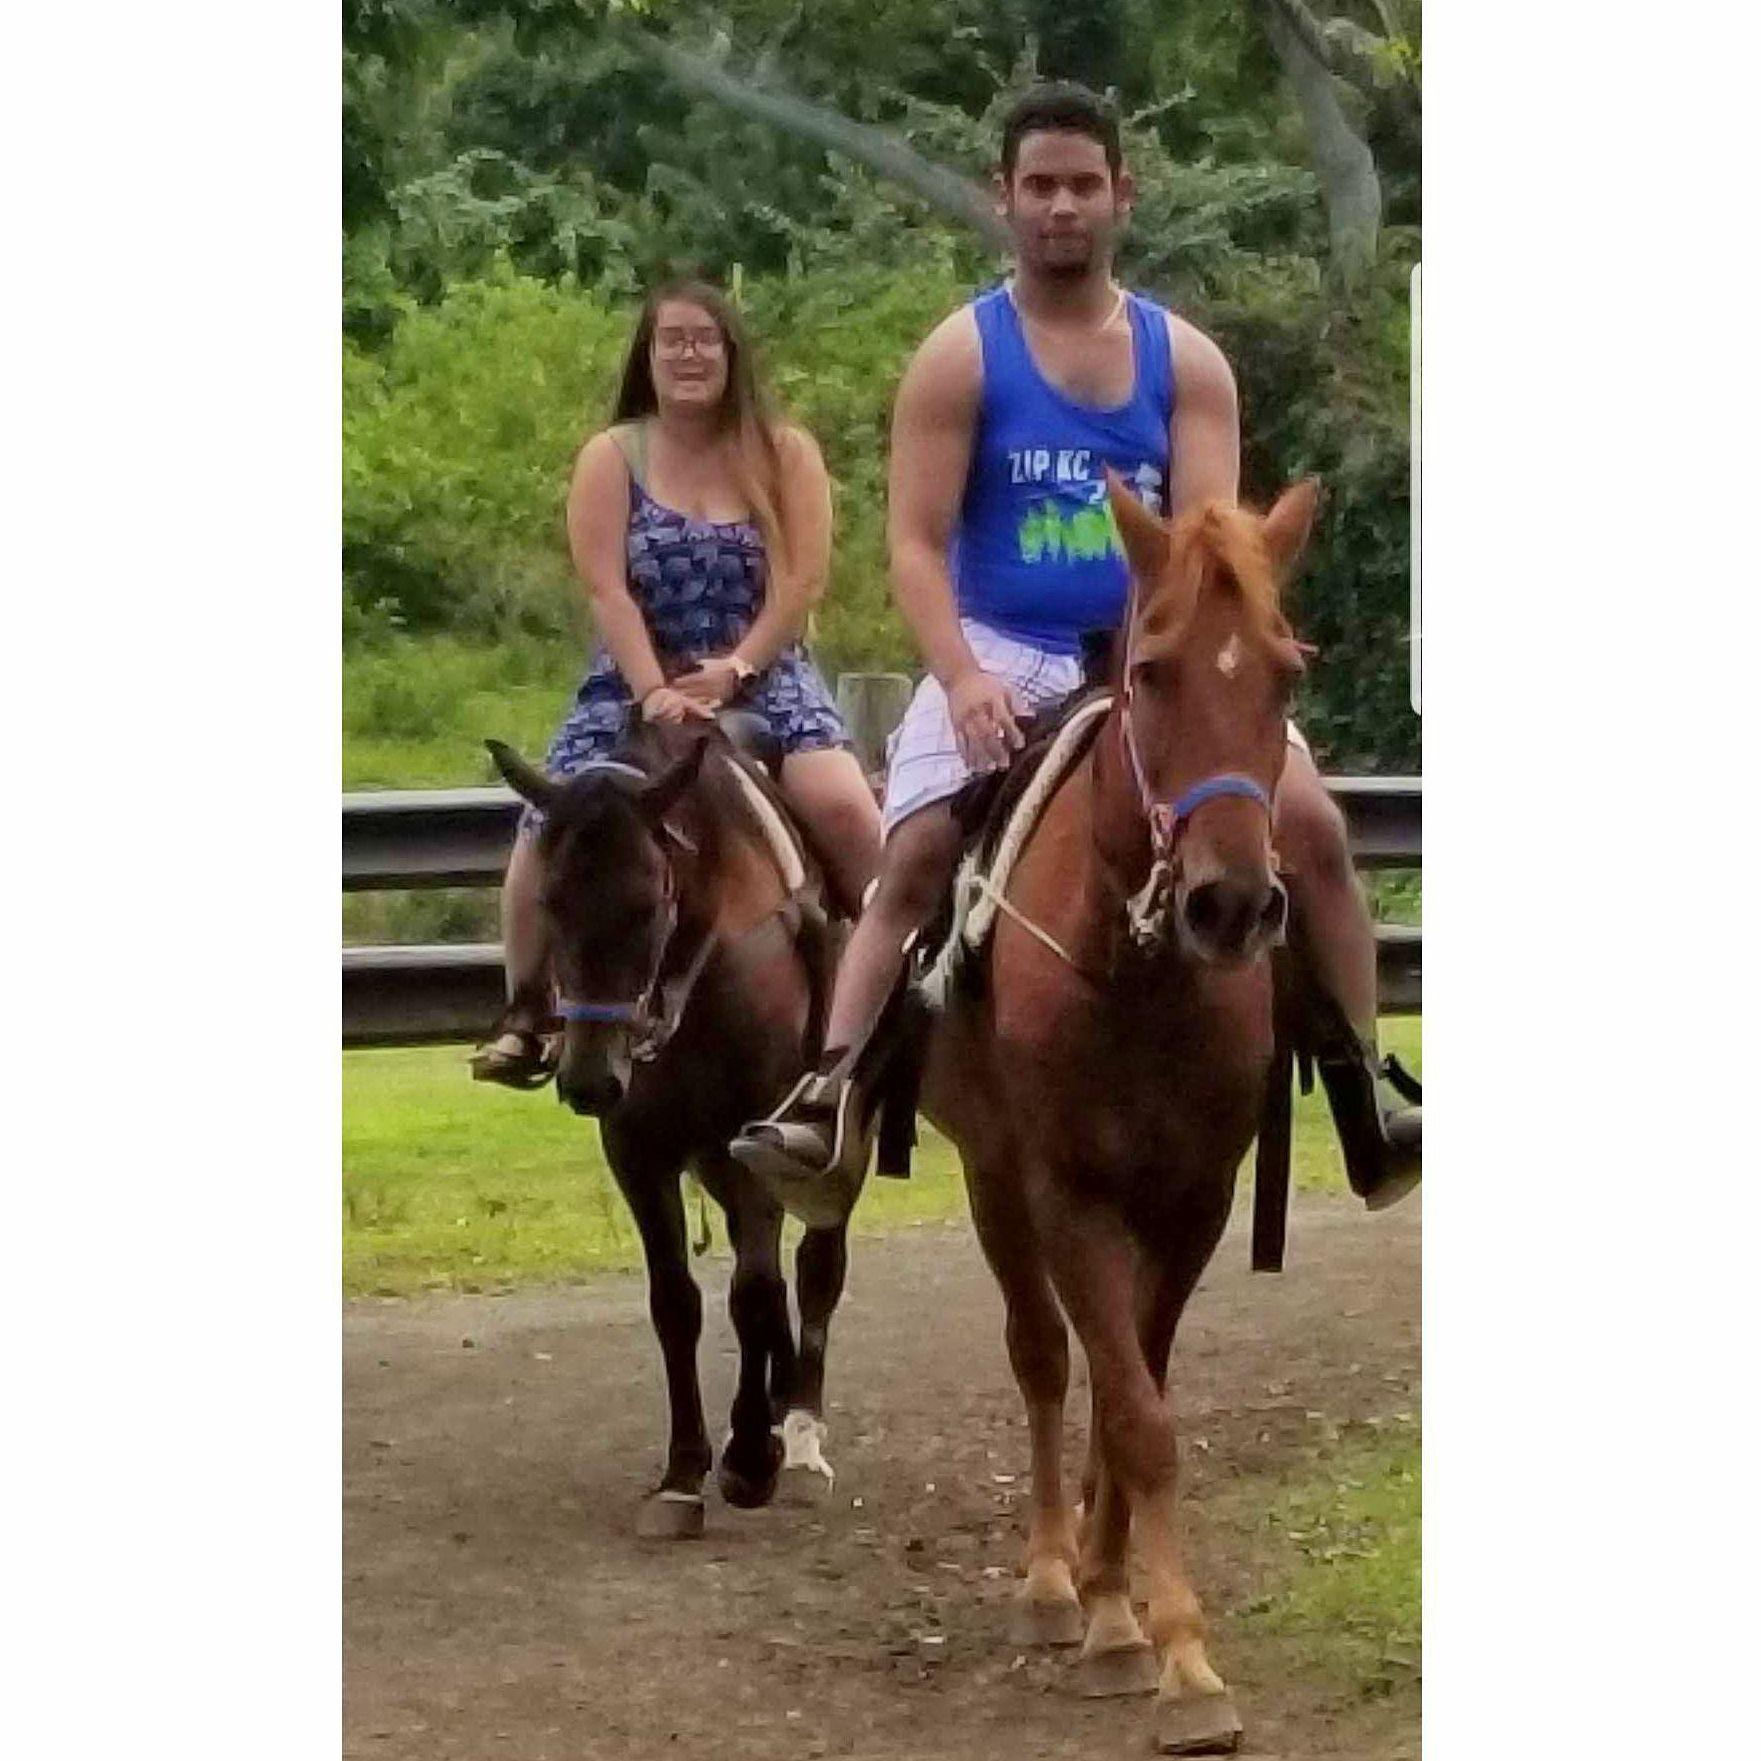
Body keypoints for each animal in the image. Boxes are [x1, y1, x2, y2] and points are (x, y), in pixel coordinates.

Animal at [488, 720, 849, 1538]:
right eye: (549, 898)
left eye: (648, 902)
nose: (589, 1079)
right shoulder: (637, 1151)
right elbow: (676, 1301)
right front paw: (684, 1474)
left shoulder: (758, 1137)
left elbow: (752, 1290)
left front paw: (748, 1461)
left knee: (815, 1268)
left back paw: (799, 1432)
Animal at [917, 477, 1320, 1752]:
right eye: (1153, 671)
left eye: (1284, 674)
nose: (1231, 905)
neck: (1136, 972)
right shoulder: (1069, 1195)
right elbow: (1124, 1406)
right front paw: (1159, 1649)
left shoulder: (1193, 1202)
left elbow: (1137, 1395)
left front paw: (1132, 1610)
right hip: (994, 1181)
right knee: (1042, 1358)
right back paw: (1051, 1580)